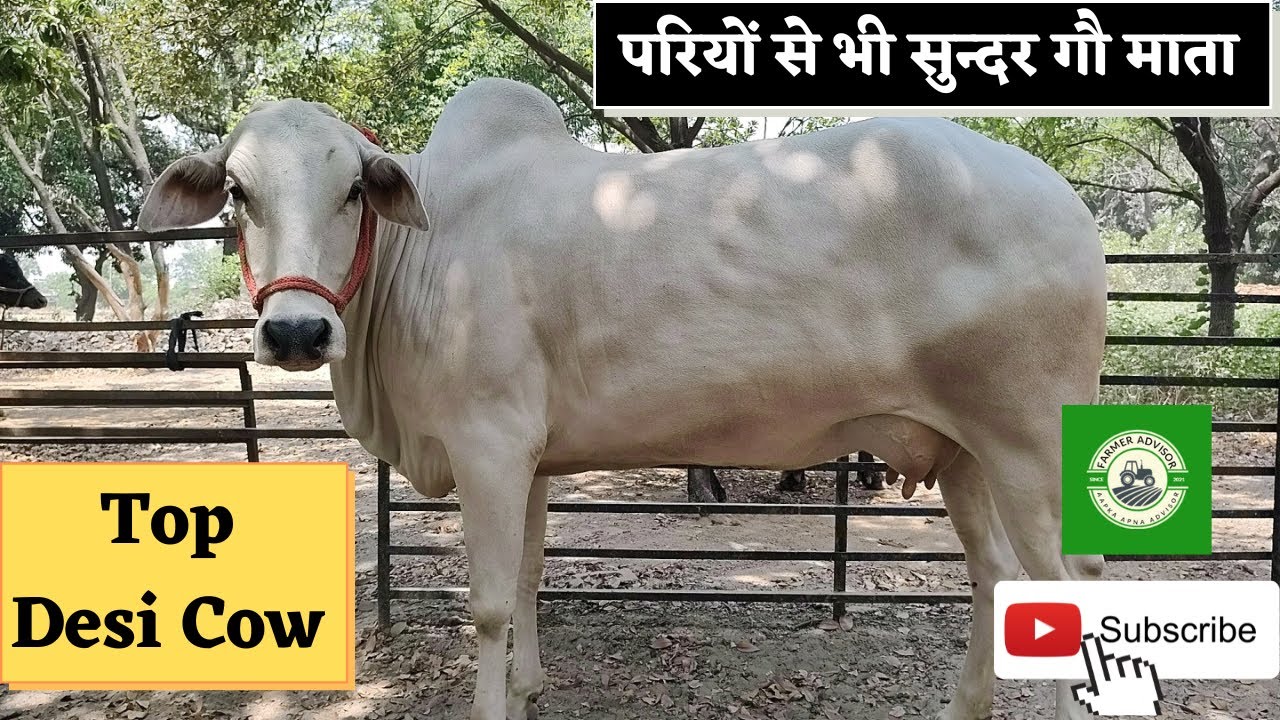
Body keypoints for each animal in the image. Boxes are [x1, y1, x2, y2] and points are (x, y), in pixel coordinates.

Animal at [138, 78, 1108, 720]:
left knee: (1064, 585)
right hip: (963, 454)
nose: (297, 333)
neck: (426, 253)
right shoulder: (529, 460)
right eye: (237, 192)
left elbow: (488, 602)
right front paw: (530, 687)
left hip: (1031, 447)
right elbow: (530, 576)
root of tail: (1065, 202)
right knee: (992, 578)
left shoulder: (488, 446)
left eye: (351, 190)